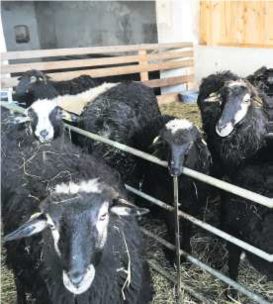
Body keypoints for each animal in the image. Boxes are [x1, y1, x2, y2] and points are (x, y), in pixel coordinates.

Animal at [1, 137, 152, 304]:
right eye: (51, 225)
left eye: (103, 215)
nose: (76, 278)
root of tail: (41, 146)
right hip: (16, 255)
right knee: (19, 281)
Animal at [139, 115, 211, 264]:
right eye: (166, 145)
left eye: (190, 146)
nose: (174, 169)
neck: (181, 187)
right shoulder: (166, 202)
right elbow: (172, 226)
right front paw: (173, 253)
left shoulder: (193, 204)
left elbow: (187, 226)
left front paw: (186, 251)